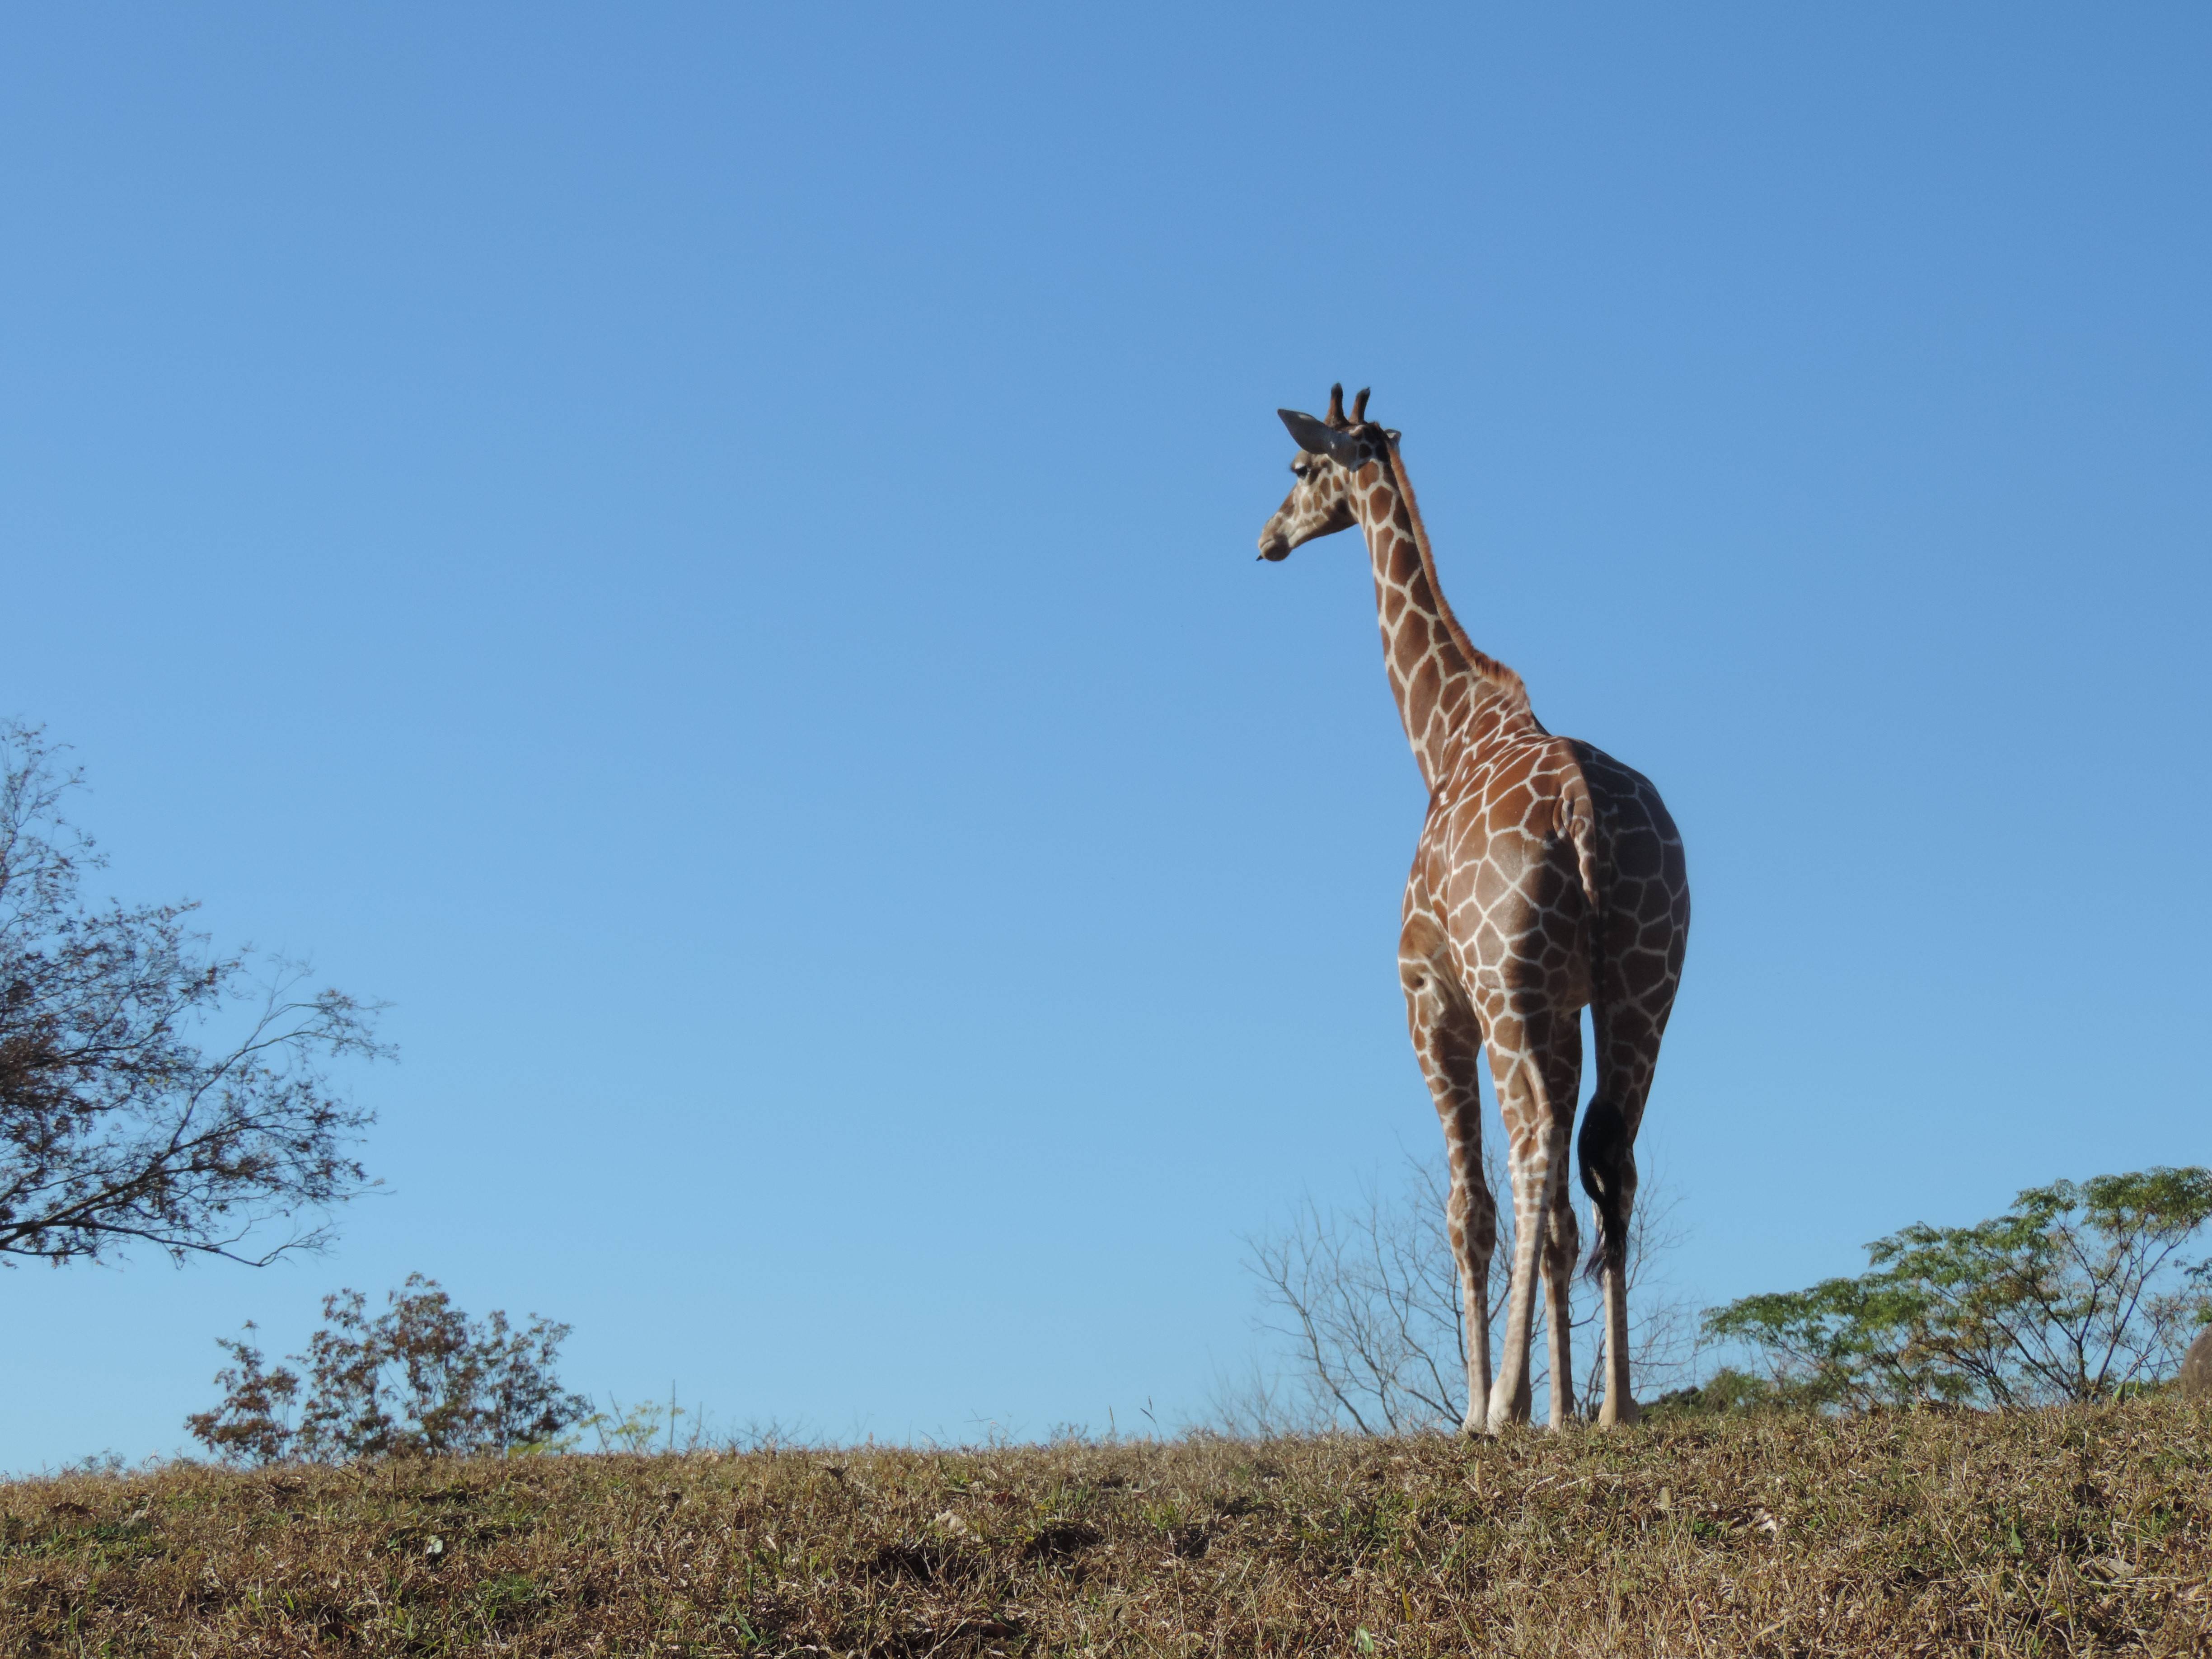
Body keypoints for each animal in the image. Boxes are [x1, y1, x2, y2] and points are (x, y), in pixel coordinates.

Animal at [1256, 383, 1681, 1433]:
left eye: (1299, 468)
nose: (1267, 539)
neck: (1442, 735)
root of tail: (1582, 815)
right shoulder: (1565, 1005)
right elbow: (1567, 1208)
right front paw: (1560, 1408)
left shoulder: (1429, 996)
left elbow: (1467, 1208)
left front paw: (1493, 1407)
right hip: (1644, 989)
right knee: (1612, 1158)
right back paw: (1615, 1407)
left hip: (1503, 990)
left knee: (1530, 1155)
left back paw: (1500, 1403)